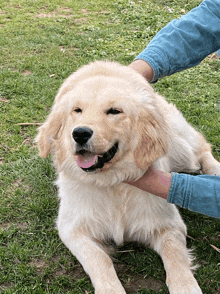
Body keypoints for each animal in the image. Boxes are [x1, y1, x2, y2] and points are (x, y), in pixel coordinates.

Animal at [35, 60, 219, 294]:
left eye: (114, 111)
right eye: (77, 110)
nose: (80, 133)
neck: (112, 184)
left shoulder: (169, 225)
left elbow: (175, 257)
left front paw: (186, 287)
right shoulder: (73, 229)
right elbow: (99, 260)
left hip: (181, 150)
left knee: (201, 149)